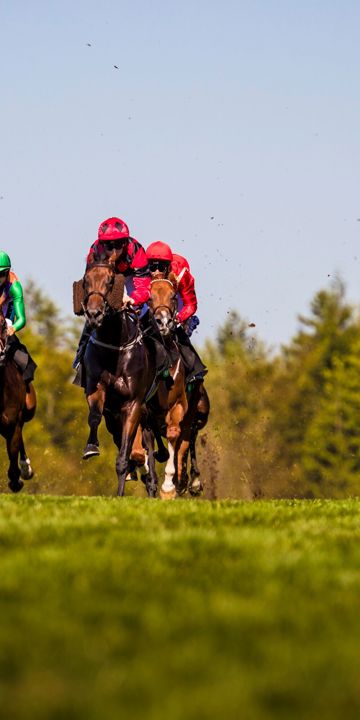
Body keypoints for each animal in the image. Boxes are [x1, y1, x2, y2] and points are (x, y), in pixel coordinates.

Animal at [73, 253, 158, 496]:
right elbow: (94, 416)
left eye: (111, 281)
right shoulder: (98, 390)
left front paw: (120, 494)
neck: (115, 348)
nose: (94, 314)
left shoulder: (133, 404)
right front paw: (91, 447)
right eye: (85, 280)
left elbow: (125, 456)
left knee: (147, 446)